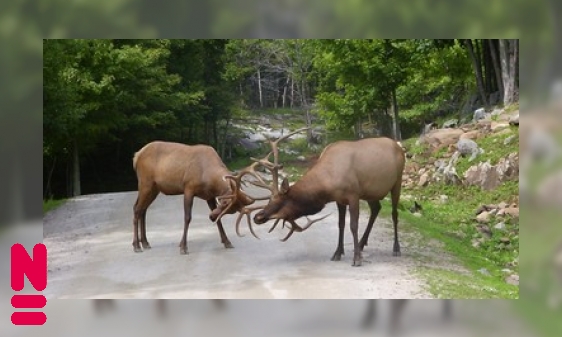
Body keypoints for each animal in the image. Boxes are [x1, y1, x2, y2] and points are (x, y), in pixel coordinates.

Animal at [132, 140, 264, 253]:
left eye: (232, 211)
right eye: (225, 202)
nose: (211, 217)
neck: (209, 178)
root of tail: (136, 155)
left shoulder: (209, 196)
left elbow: (219, 219)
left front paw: (227, 242)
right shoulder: (188, 188)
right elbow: (187, 217)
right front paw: (183, 247)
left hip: (154, 188)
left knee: (143, 209)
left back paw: (145, 242)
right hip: (145, 183)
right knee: (137, 209)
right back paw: (136, 245)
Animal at [217, 130, 404, 266]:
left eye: (280, 201)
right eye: (270, 200)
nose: (258, 216)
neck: (328, 183)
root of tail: (398, 146)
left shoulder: (353, 195)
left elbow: (353, 225)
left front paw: (356, 259)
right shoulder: (340, 199)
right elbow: (341, 225)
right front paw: (338, 253)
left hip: (397, 182)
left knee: (394, 214)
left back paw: (396, 248)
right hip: (371, 192)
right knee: (376, 208)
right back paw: (363, 243)